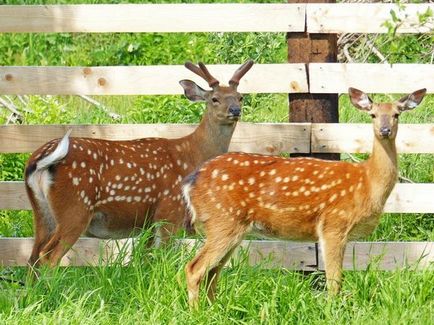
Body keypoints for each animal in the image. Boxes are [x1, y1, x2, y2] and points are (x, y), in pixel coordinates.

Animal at [24, 60, 254, 266]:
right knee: (48, 258)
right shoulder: (169, 211)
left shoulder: (149, 222)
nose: (235, 110)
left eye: (240, 97)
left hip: (42, 212)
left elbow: (144, 260)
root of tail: (40, 158)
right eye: (214, 98)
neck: (191, 155)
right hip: (75, 208)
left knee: (33, 256)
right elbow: (161, 260)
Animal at [183, 86, 428, 306]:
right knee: (195, 268)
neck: (367, 182)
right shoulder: (333, 224)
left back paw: (215, 309)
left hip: (230, 227)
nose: (385, 130)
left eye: (396, 114)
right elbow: (334, 282)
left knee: (213, 272)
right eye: (373, 115)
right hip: (222, 220)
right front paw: (332, 312)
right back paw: (198, 313)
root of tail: (190, 182)